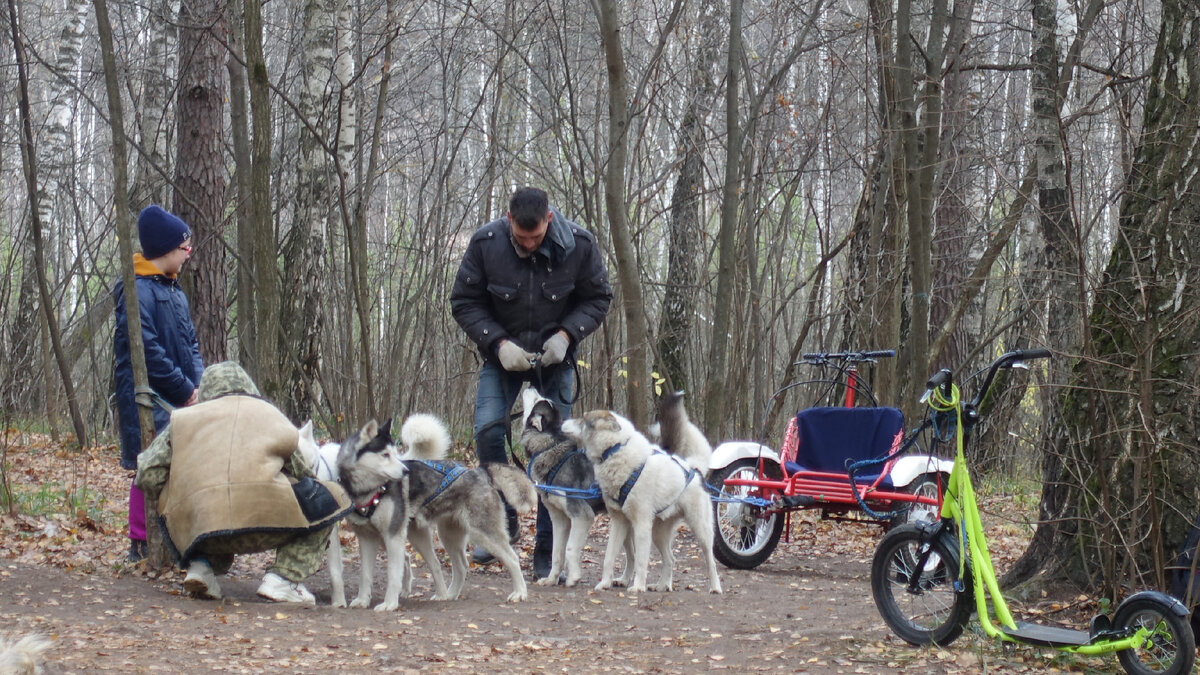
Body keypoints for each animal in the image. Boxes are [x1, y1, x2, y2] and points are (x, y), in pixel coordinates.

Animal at [331, 413, 532, 607]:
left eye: (396, 454)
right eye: (385, 455)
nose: (406, 471)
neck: (369, 492)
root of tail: (480, 471)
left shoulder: (393, 536)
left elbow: (393, 575)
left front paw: (389, 604)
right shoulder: (366, 538)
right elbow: (365, 575)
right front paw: (362, 600)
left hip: (483, 533)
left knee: (512, 559)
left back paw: (520, 593)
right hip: (445, 536)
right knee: (460, 566)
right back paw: (449, 595)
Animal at [561, 393, 720, 593]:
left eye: (583, 420)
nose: (562, 421)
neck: (615, 449)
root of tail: (694, 468)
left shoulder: (641, 524)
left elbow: (641, 560)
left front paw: (637, 587)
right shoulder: (619, 522)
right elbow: (609, 558)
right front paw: (605, 583)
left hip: (700, 529)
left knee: (710, 560)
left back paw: (715, 588)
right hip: (658, 533)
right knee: (670, 559)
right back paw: (661, 585)